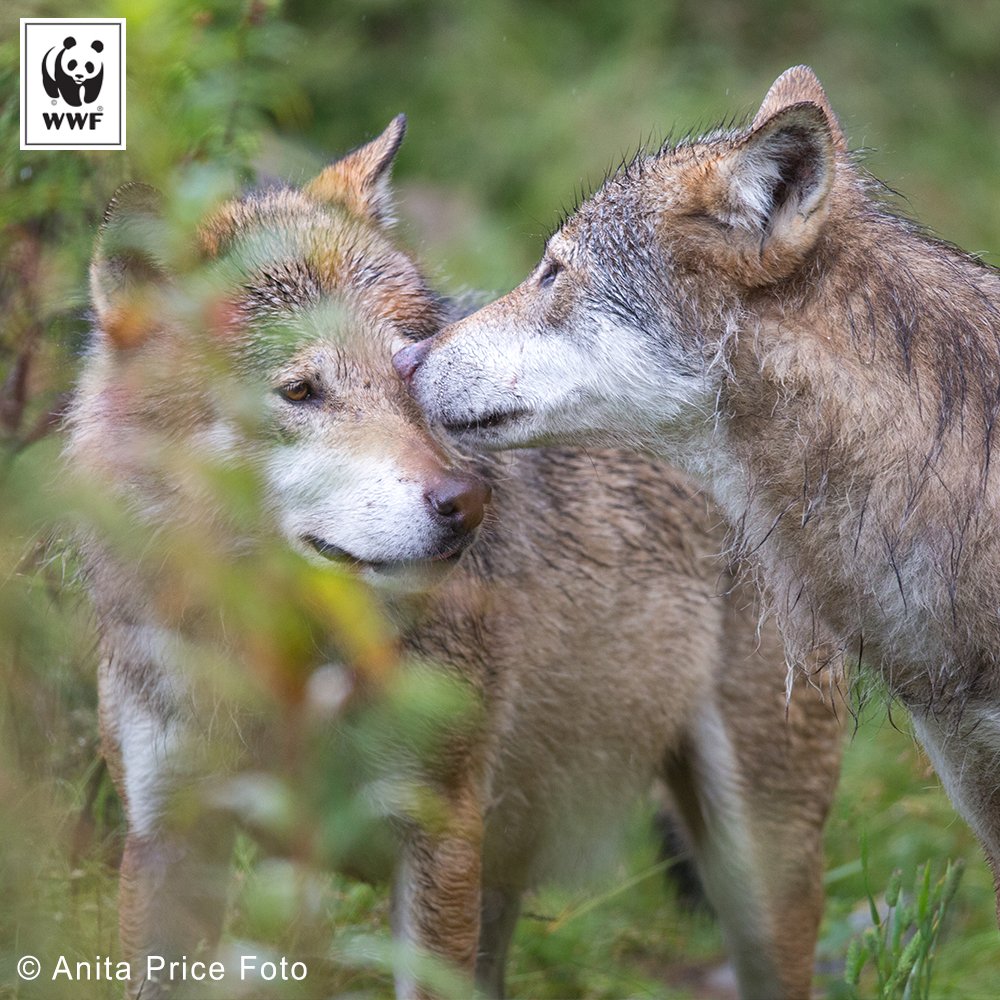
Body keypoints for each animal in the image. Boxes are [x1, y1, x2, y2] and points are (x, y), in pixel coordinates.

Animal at [66, 116, 842, 999]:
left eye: (412, 366)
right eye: (300, 392)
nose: (465, 503)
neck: (287, 656)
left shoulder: (438, 833)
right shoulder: (168, 837)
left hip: (752, 869)